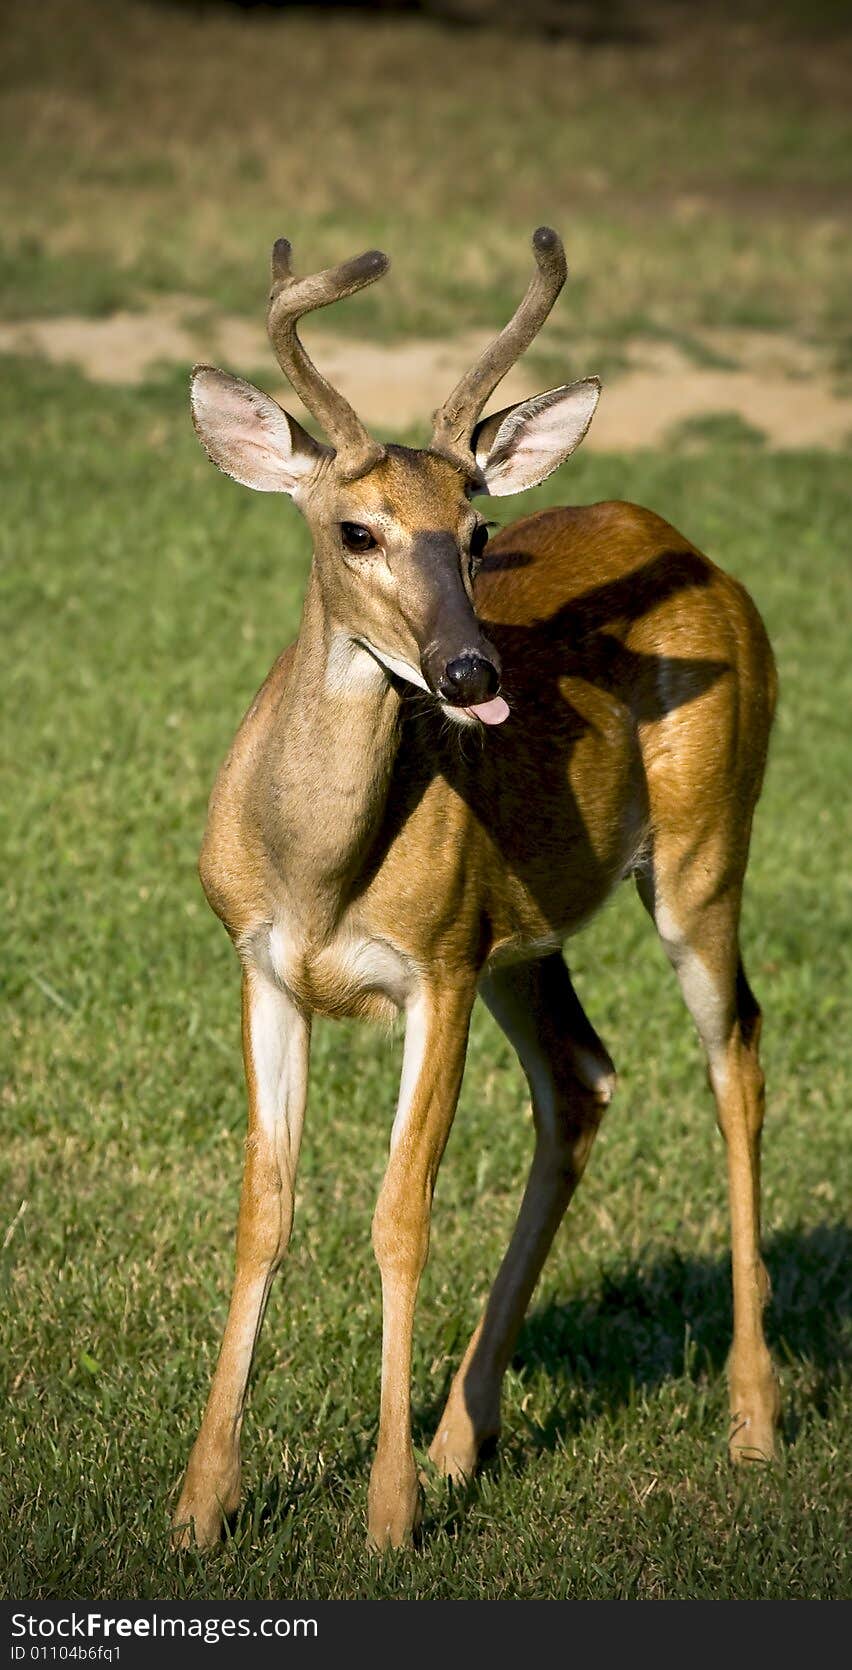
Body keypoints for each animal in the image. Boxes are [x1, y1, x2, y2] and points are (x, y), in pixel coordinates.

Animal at [172, 225, 778, 1549]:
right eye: (356, 530)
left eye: (480, 531)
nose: (468, 669)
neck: (323, 875)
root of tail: (707, 560)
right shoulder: (260, 963)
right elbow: (264, 1209)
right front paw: (201, 1500)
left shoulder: (435, 965)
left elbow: (399, 1215)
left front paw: (387, 1510)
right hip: (526, 933)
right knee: (584, 1074)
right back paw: (466, 1432)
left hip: (705, 849)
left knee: (737, 1055)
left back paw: (753, 1417)